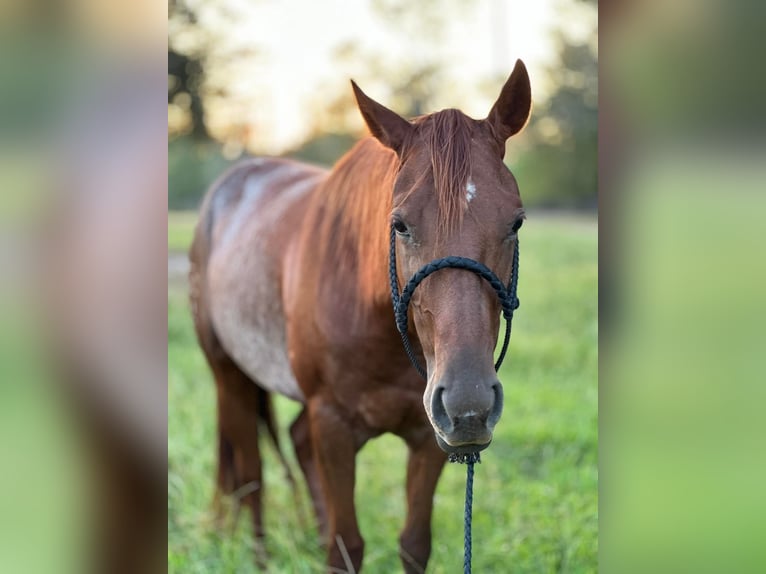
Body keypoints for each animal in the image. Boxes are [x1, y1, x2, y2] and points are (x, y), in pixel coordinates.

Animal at [189, 58, 532, 572]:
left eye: (515, 222)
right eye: (400, 224)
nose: (468, 404)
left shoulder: (428, 434)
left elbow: (413, 544)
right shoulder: (332, 424)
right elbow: (345, 545)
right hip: (229, 376)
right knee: (251, 475)